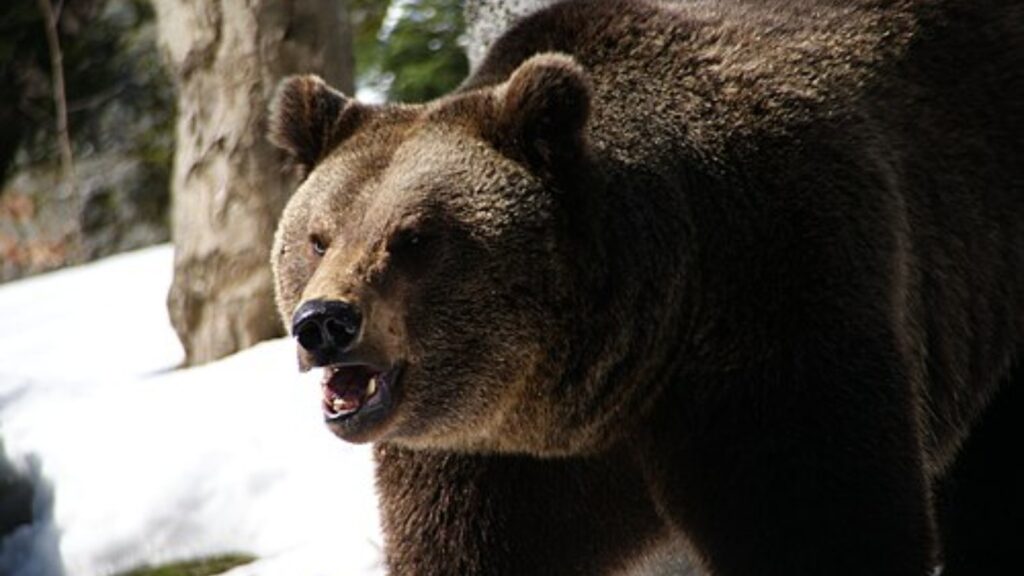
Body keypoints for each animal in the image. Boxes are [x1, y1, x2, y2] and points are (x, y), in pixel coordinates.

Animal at [267, 0, 1024, 574]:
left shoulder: (778, 309)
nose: (324, 322)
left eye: (415, 237)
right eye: (318, 236)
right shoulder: (485, 462)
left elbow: (824, 521)